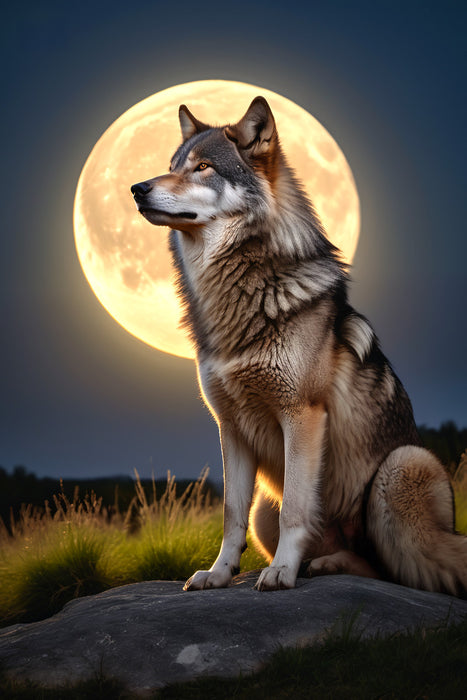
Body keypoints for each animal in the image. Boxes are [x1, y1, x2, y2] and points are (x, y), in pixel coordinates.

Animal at [131, 97, 467, 595]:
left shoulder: (302, 415)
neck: (237, 297)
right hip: (264, 510)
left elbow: (296, 509)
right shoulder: (230, 427)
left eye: (203, 168)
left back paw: (316, 566)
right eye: (171, 167)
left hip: (400, 468)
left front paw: (281, 573)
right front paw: (219, 573)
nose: (136, 188)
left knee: (394, 569)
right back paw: (321, 563)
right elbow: (230, 514)